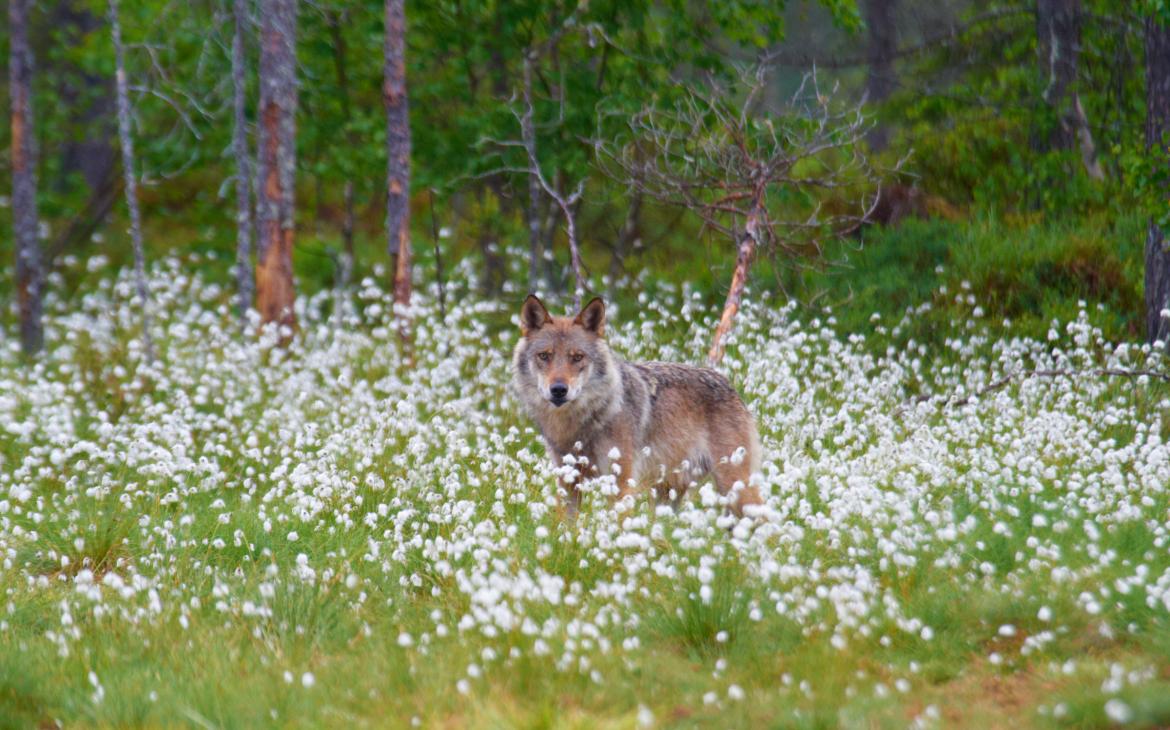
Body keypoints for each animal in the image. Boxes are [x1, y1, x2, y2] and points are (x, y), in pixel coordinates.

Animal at [507, 292, 762, 519]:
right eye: (544, 356)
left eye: (577, 357)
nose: (559, 389)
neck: (578, 423)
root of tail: (728, 383)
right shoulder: (568, 479)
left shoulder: (620, 482)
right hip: (668, 495)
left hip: (734, 488)